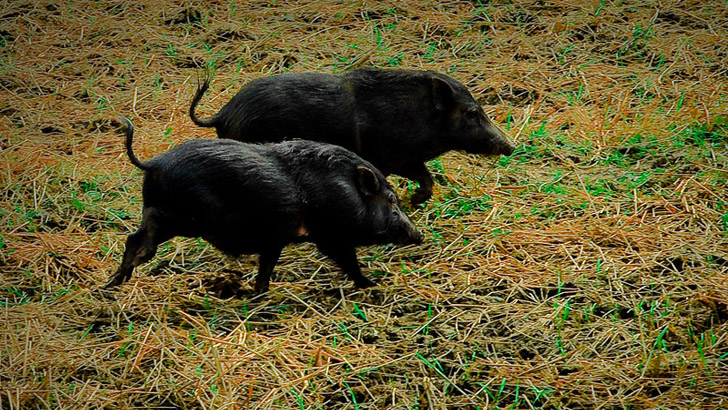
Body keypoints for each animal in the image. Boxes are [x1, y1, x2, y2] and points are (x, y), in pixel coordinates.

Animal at [106, 117, 424, 294]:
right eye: (392, 201)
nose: (419, 235)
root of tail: (154, 163)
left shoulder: (275, 239)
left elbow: (266, 267)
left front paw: (259, 294)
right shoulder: (330, 235)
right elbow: (348, 261)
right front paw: (373, 284)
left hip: (166, 213)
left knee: (134, 237)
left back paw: (113, 284)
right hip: (184, 218)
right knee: (141, 239)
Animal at [189, 69, 516, 207]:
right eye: (472, 113)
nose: (510, 146)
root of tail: (222, 114)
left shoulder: (408, 160)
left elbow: (427, 179)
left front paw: (414, 201)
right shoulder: (388, 158)